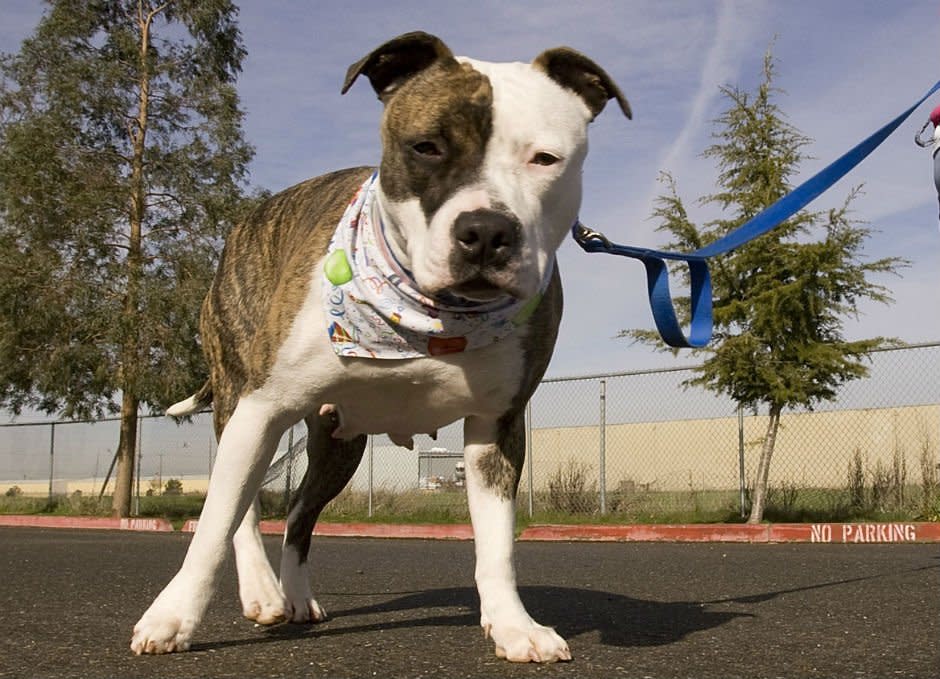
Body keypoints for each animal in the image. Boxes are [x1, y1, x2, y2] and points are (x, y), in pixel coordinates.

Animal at [130, 31, 632, 664]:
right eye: (426, 147)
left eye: (545, 158)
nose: (486, 232)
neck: (428, 315)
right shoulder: (262, 408)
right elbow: (213, 525)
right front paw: (172, 618)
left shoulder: (496, 426)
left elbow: (497, 544)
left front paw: (514, 625)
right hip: (238, 403)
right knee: (242, 511)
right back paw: (262, 593)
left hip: (339, 445)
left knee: (299, 516)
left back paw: (296, 597)